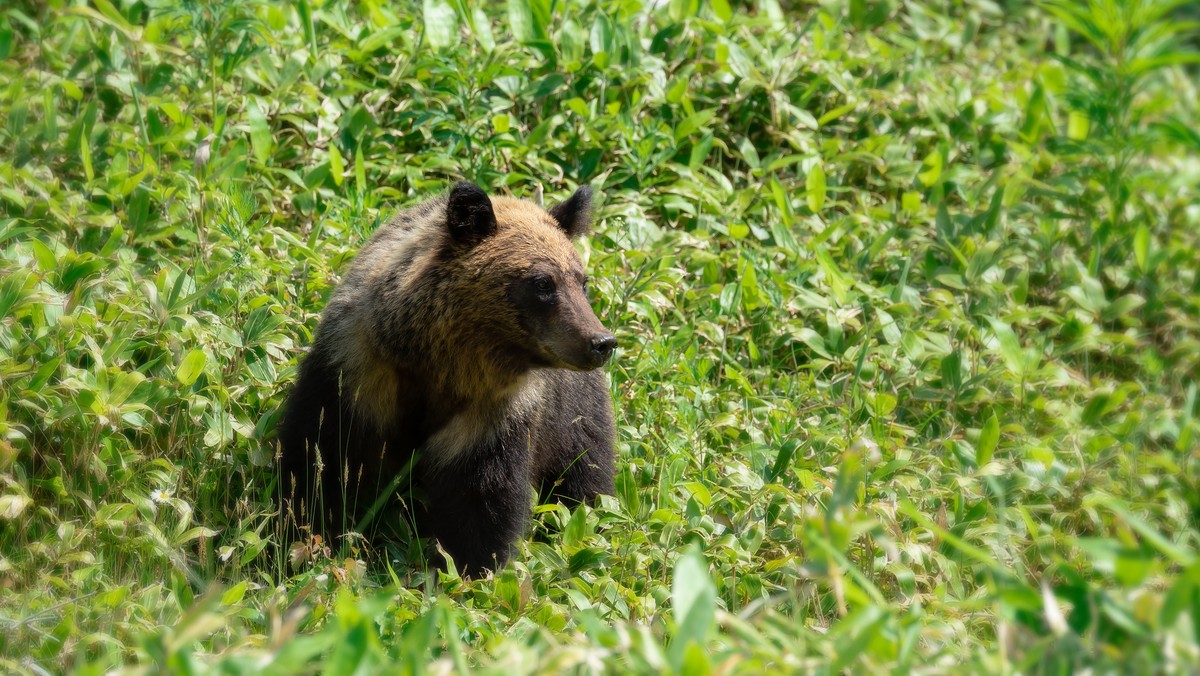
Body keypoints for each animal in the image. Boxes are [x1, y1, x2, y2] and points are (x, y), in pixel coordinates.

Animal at [276, 181, 614, 576]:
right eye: (543, 283)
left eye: (582, 280)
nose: (601, 342)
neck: (439, 365)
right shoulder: (356, 375)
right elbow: (319, 459)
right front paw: (305, 539)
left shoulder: (491, 412)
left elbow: (480, 496)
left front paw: (468, 567)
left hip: (571, 415)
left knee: (585, 470)